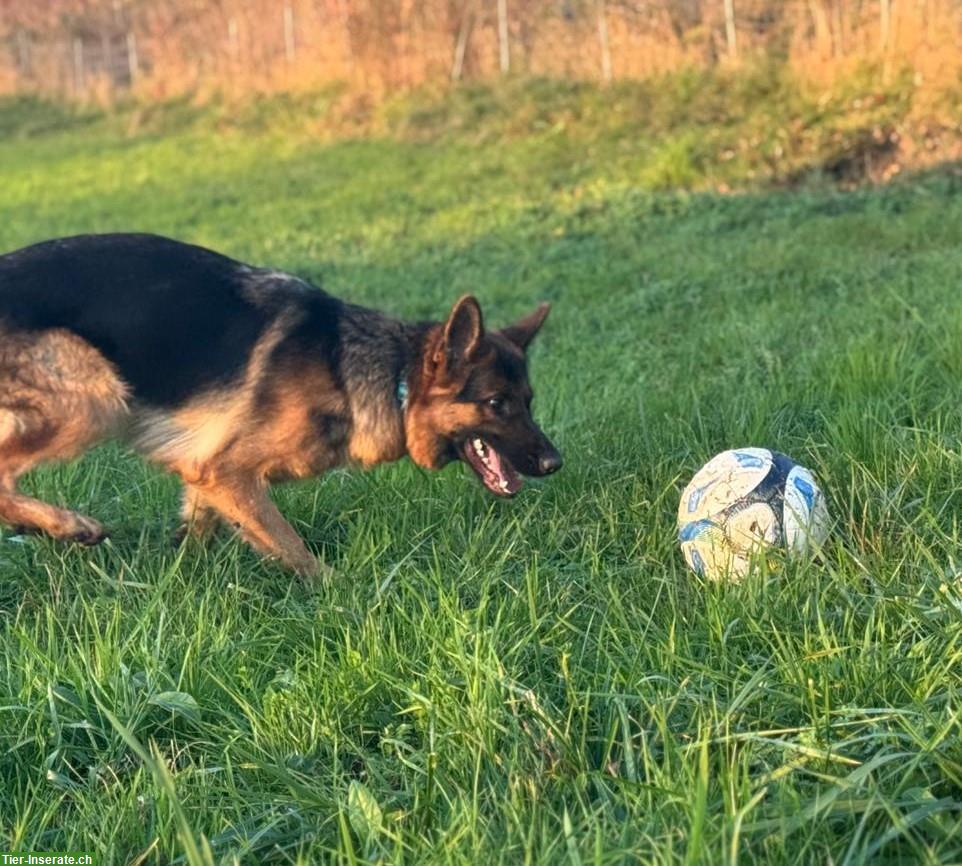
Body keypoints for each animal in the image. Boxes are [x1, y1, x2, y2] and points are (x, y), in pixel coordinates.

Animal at [0, 233, 560, 576]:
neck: (388, 376)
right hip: (97, 398)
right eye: (496, 403)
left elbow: (198, 529)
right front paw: (339, 591)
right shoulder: (229, 472)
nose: (556, 463)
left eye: (529, 402)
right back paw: (67, 525)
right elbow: (290, 546)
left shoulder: (203, 470)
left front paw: (180, 583)